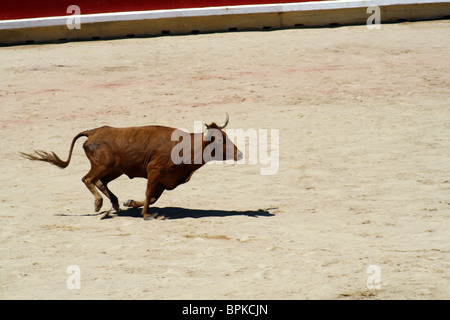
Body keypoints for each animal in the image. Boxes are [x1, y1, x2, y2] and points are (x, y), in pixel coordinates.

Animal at [21, 113, 243, 220]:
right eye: (220, 140)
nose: (239, 153)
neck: (186, 146)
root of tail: (93, 131)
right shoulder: (155, 172)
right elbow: (149, 194)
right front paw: (146, 215)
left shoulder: (165, 179)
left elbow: (152, 197)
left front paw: (131, 203)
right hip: (103, 166)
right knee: (88, 179)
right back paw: (99, 203)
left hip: (115, 170)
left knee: (100, 182)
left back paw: (115, 203)